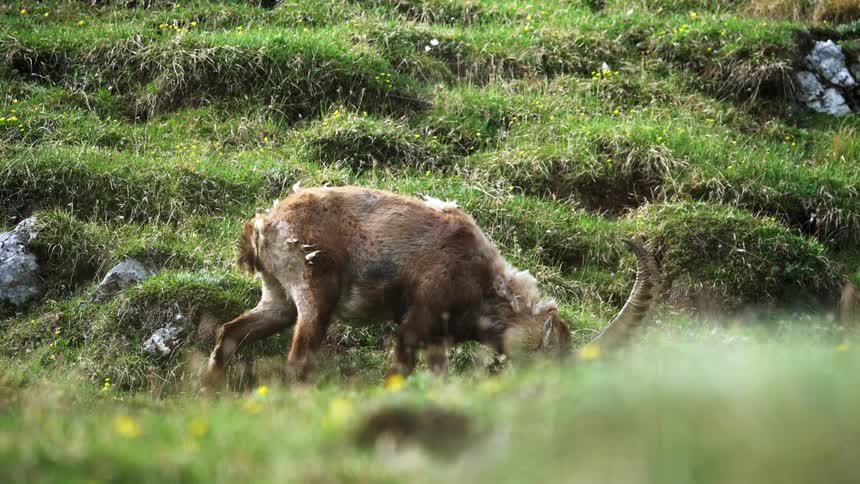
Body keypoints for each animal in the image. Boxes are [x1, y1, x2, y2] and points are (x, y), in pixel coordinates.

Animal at [203, 186, 659, 386]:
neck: (479, 278)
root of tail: (264, 225)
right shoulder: (416, 321)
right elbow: (400, 368)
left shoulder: (439, 337)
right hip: (315, 291)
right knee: (299, 357)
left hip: (278, 298)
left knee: (232, 332)